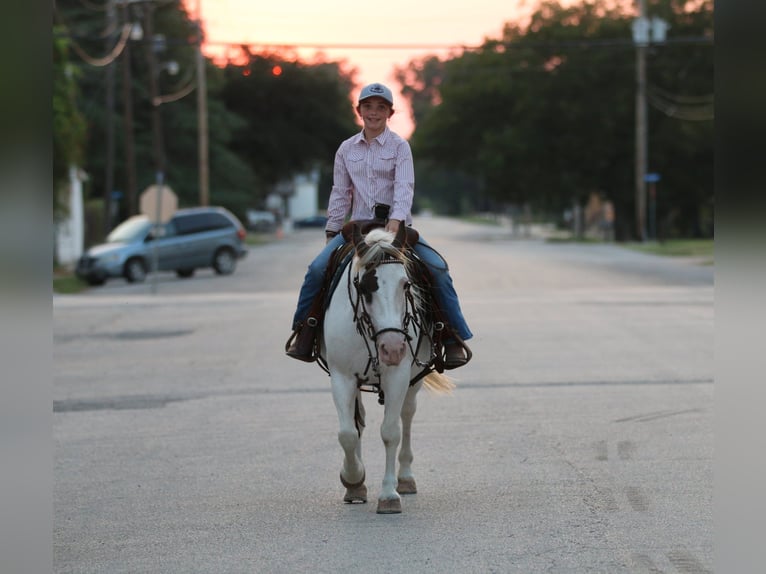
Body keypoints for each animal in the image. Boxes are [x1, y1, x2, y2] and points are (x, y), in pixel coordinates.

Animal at [320, 223, 454, 514]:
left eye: (406, 284)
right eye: (364, 287)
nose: (392, 348)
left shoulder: (398, 376)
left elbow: (391, 432)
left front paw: (389, 494)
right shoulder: (342, 377)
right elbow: (347, 433)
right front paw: (353, 479)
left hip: (413, 382)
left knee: (407, 415)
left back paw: (405, 478)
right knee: (358, 421)